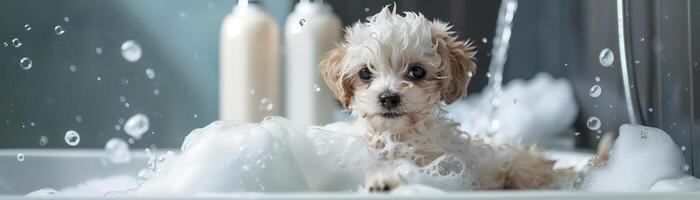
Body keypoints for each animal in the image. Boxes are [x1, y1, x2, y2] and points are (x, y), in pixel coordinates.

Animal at [320, 5, 572, 192]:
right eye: (365, 73)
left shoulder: (446, 168)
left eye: (417, 72)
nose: (389, 97)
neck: (397, 139)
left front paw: (387, 181)